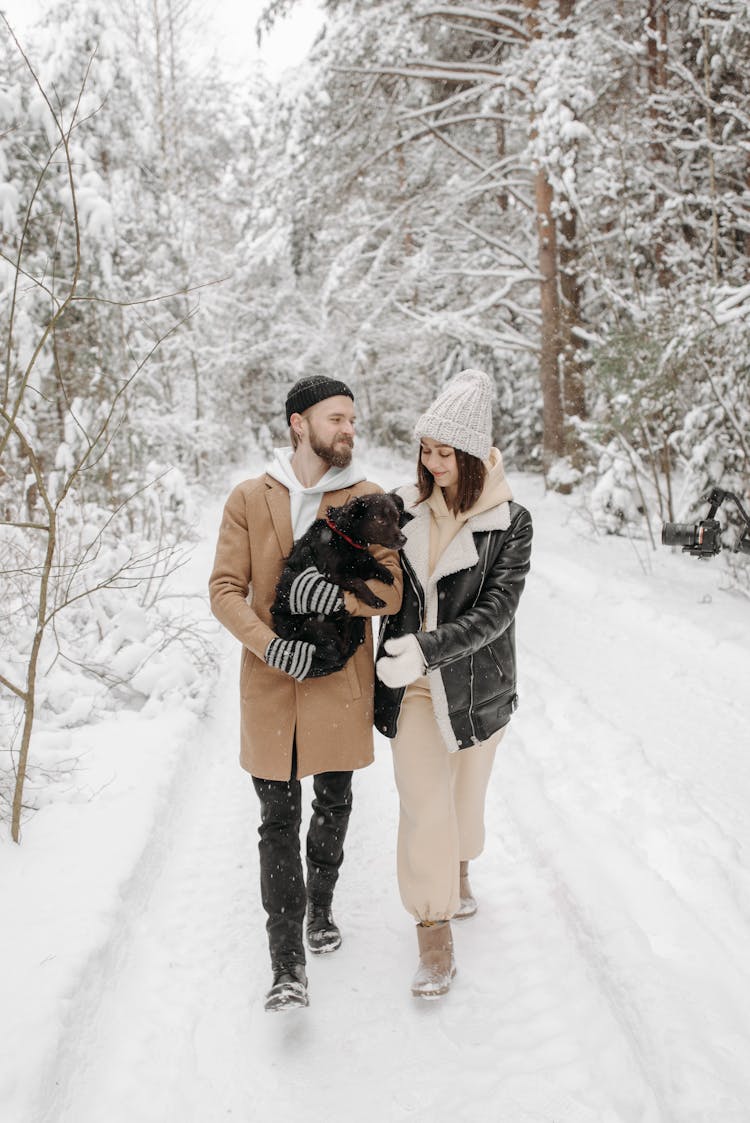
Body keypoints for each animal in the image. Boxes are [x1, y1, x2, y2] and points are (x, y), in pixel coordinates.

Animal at [272, 491, 406, 673]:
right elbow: (357, 581)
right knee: (335, 649)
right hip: (315, 624)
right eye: (380, 520)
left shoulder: (358, 559)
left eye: (396, 517)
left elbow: (369, 561)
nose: (404, 539)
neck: (343, 537)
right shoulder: (330, 574)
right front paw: (374, 599)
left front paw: (385, 573)